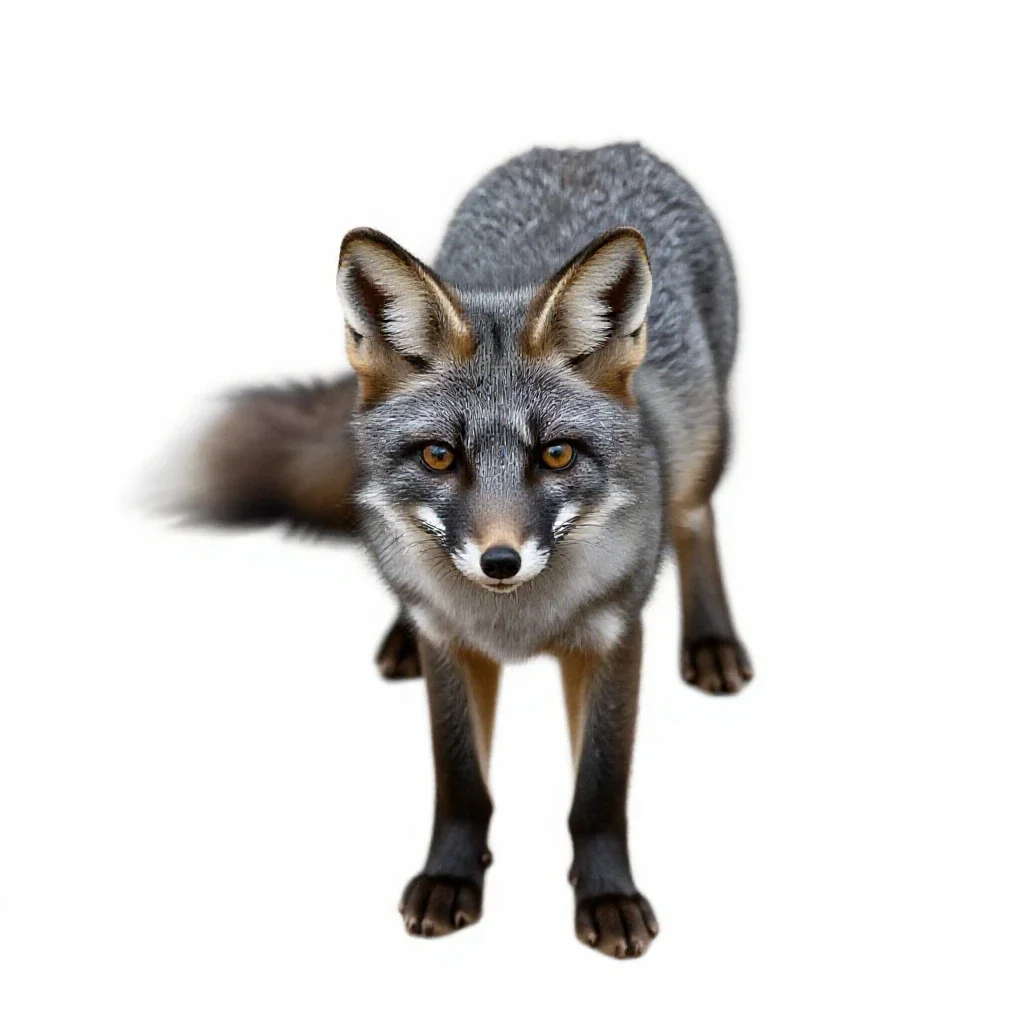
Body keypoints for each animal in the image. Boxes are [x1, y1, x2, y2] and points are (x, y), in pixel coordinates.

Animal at [161, 142, 752, 959]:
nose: (500, 562)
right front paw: (450, 879)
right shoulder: (448, 640)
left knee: (699, 523)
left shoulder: (612, 636)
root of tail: (588, 148)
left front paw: (607, 896)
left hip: (705, 451)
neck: (516, 627)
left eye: (557, 455)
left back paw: (713, 642)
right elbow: (461, 780)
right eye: (440, 457)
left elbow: (598, 793)